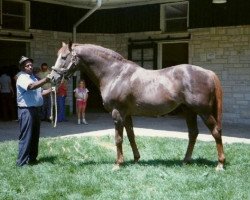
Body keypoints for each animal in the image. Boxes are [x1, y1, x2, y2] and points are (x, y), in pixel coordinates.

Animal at [50, 42, 225, 170]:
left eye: (64, 57)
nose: (52, 78)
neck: (115, 74)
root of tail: (208, 73)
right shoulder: (126, 114)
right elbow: (131, 136)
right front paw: (136, 159)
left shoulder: (117, 113)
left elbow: (118, 139)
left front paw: (118, 164)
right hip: (189, 111)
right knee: (193, 134)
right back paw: (185, 161)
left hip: (203, 112)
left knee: (215, 132)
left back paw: (220, 164)